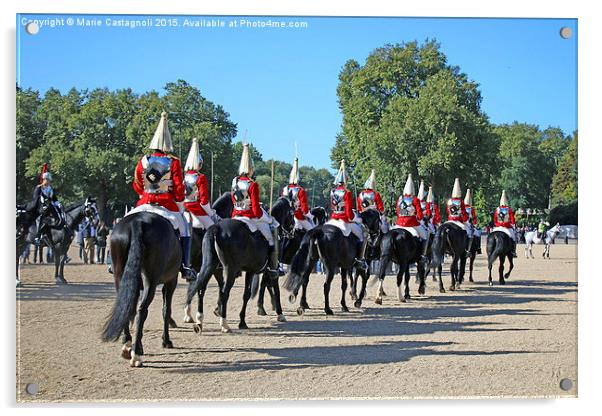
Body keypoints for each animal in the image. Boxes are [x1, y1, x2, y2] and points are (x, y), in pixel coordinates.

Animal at [101, 211, 180, 368]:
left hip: (120, 276)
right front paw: (166, 340)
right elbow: (166, 310)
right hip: (151, 280)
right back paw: (136, 353)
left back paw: (127, 345)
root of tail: (137, 221)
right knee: (142, 310)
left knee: (126, 307)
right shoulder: (171, 281)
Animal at [184, 196, 294, 334]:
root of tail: (216, 228)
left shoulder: (249, 270)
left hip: (209, 266)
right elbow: (272, 288)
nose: (293, 229)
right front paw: (278, 313)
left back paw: (199, 320)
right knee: (224, 292)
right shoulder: (269, 269)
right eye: (292, 212)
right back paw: (224, 324)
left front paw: (241, 320)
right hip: (229, 269)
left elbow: (247, 293)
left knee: (200, 288)